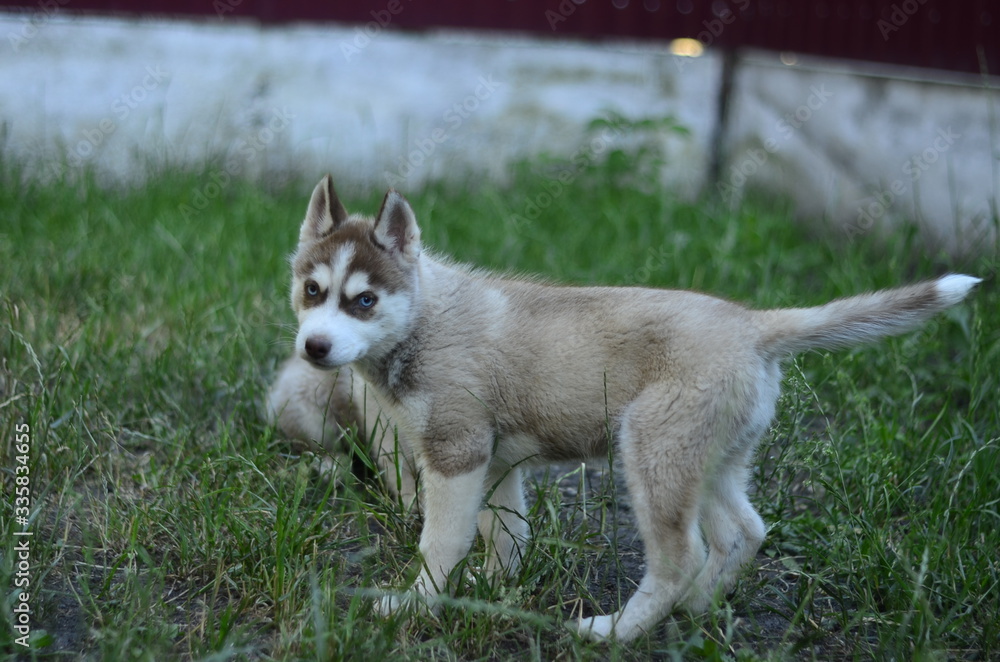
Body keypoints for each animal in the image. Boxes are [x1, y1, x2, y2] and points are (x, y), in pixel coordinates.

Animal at [278, 176, 980, 644]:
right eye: (312, 290)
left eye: (364, 301)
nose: (314, 347)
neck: (424, 318)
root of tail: (752, 324)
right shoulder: (497, 464)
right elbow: (506, 534)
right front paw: (493, 590)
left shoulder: (457, 454)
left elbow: (441, 540)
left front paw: (416, 604)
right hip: (708, 457)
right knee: (744, 531)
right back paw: (695, 610)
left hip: (651, 450)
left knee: (682, 555)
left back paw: (616, 631)